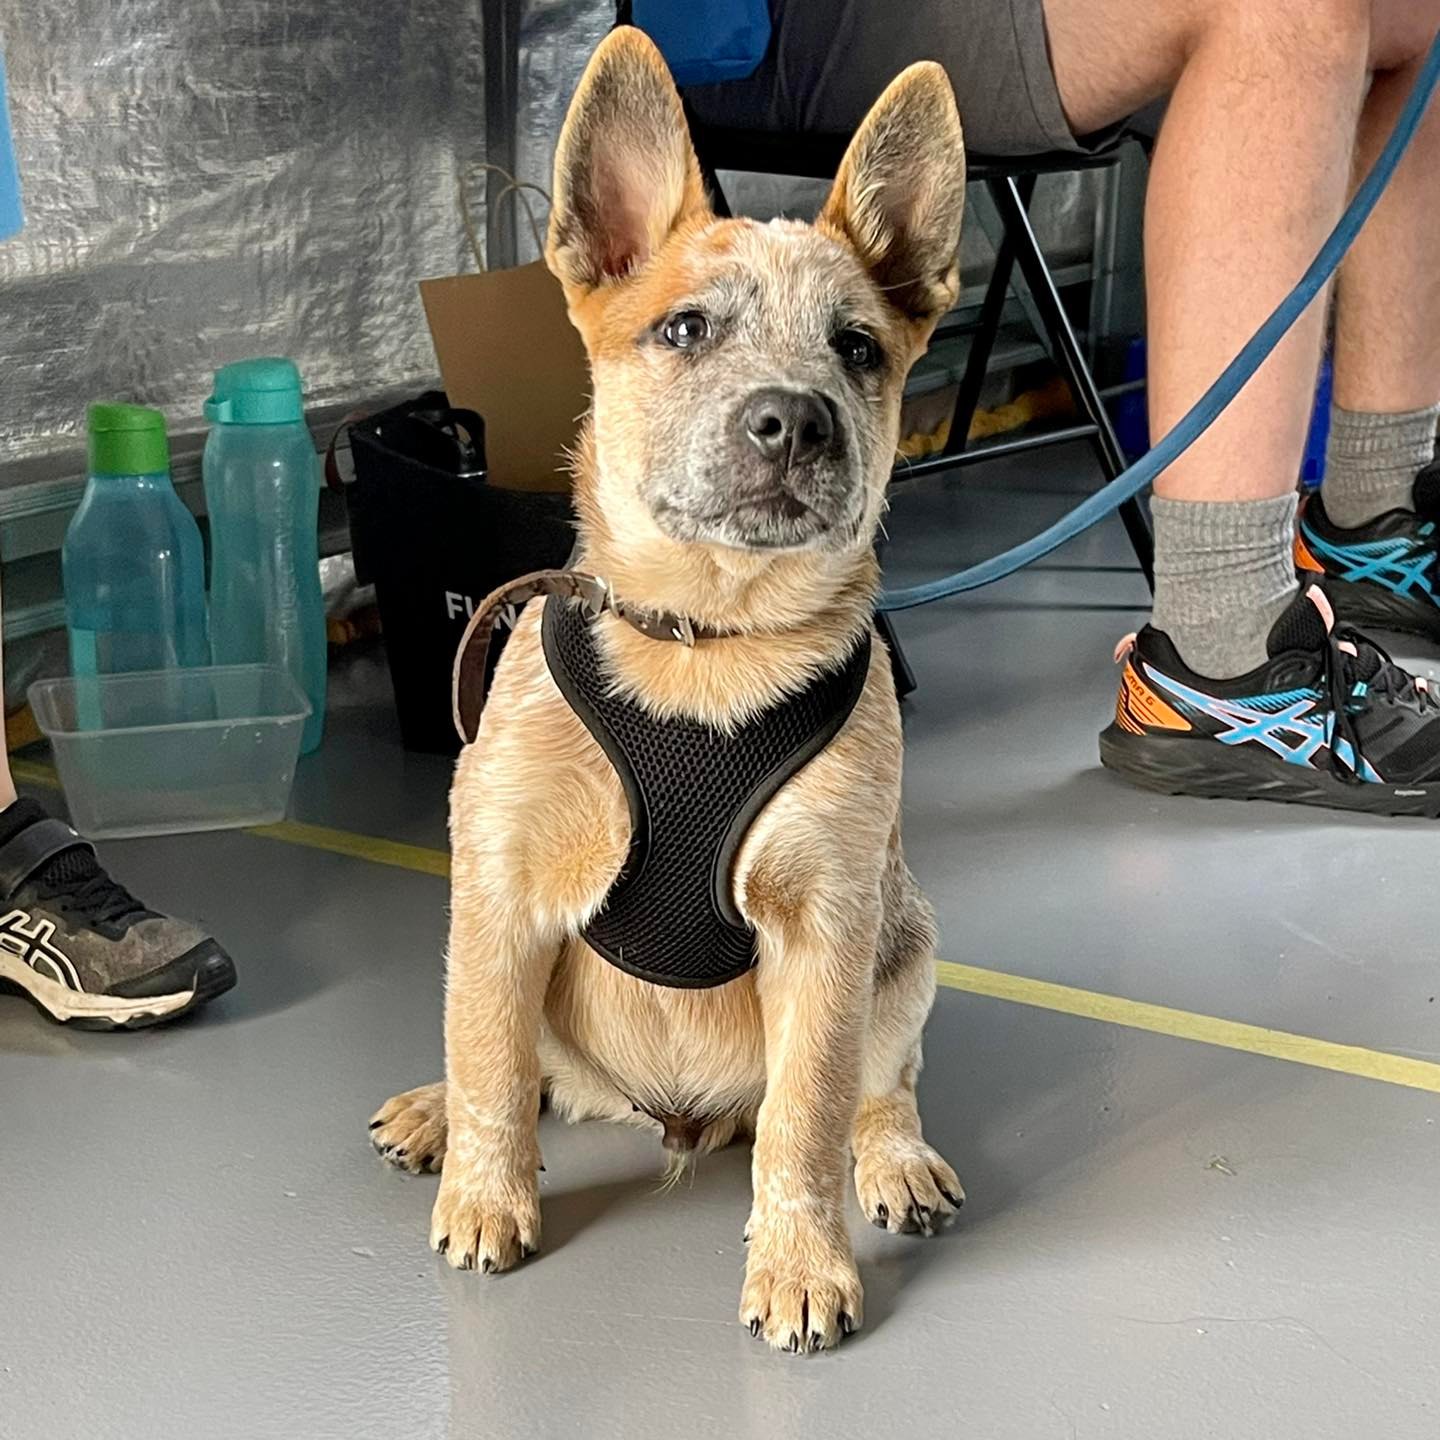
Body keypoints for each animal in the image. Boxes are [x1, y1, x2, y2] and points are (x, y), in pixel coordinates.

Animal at [374, 25, 967, 1347]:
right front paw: (484, 1193)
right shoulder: (501, 891)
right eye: (685, 331)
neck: (707, 642)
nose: (793, 422)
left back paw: (896, 1157)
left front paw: (801, 1264)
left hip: (905, 945)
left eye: (858, 347)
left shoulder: (829, 927)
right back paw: (435, 1112)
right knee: (517, 1061)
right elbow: (489, 1060)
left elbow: (807, 1119)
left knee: (884, 1084)